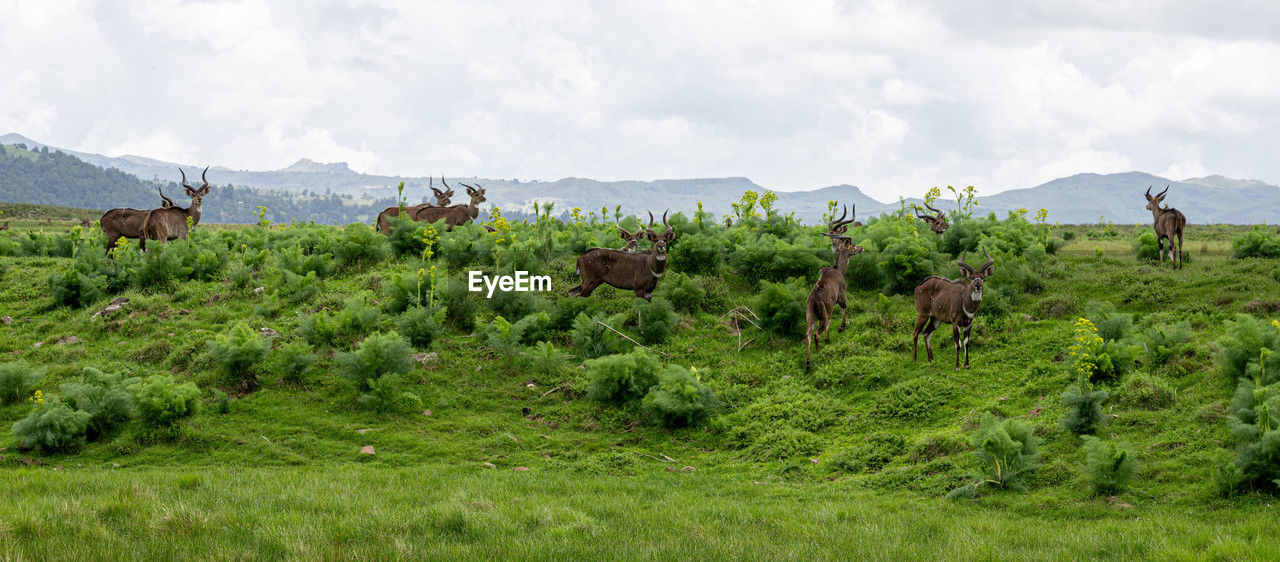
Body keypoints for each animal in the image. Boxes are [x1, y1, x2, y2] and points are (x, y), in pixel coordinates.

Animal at [803, 230, 865, 371]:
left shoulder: (830, 309)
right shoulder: (840, 297)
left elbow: (831, 322)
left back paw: (808, 364)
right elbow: (844, 308)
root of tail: (813, 301)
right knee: (816, 334)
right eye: (853, 244)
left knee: (808, 335)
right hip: (822, 316)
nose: (861, 248)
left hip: (811, 318)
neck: (838, 270)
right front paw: (841, 327)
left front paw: (828, 339)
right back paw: (818, 352)